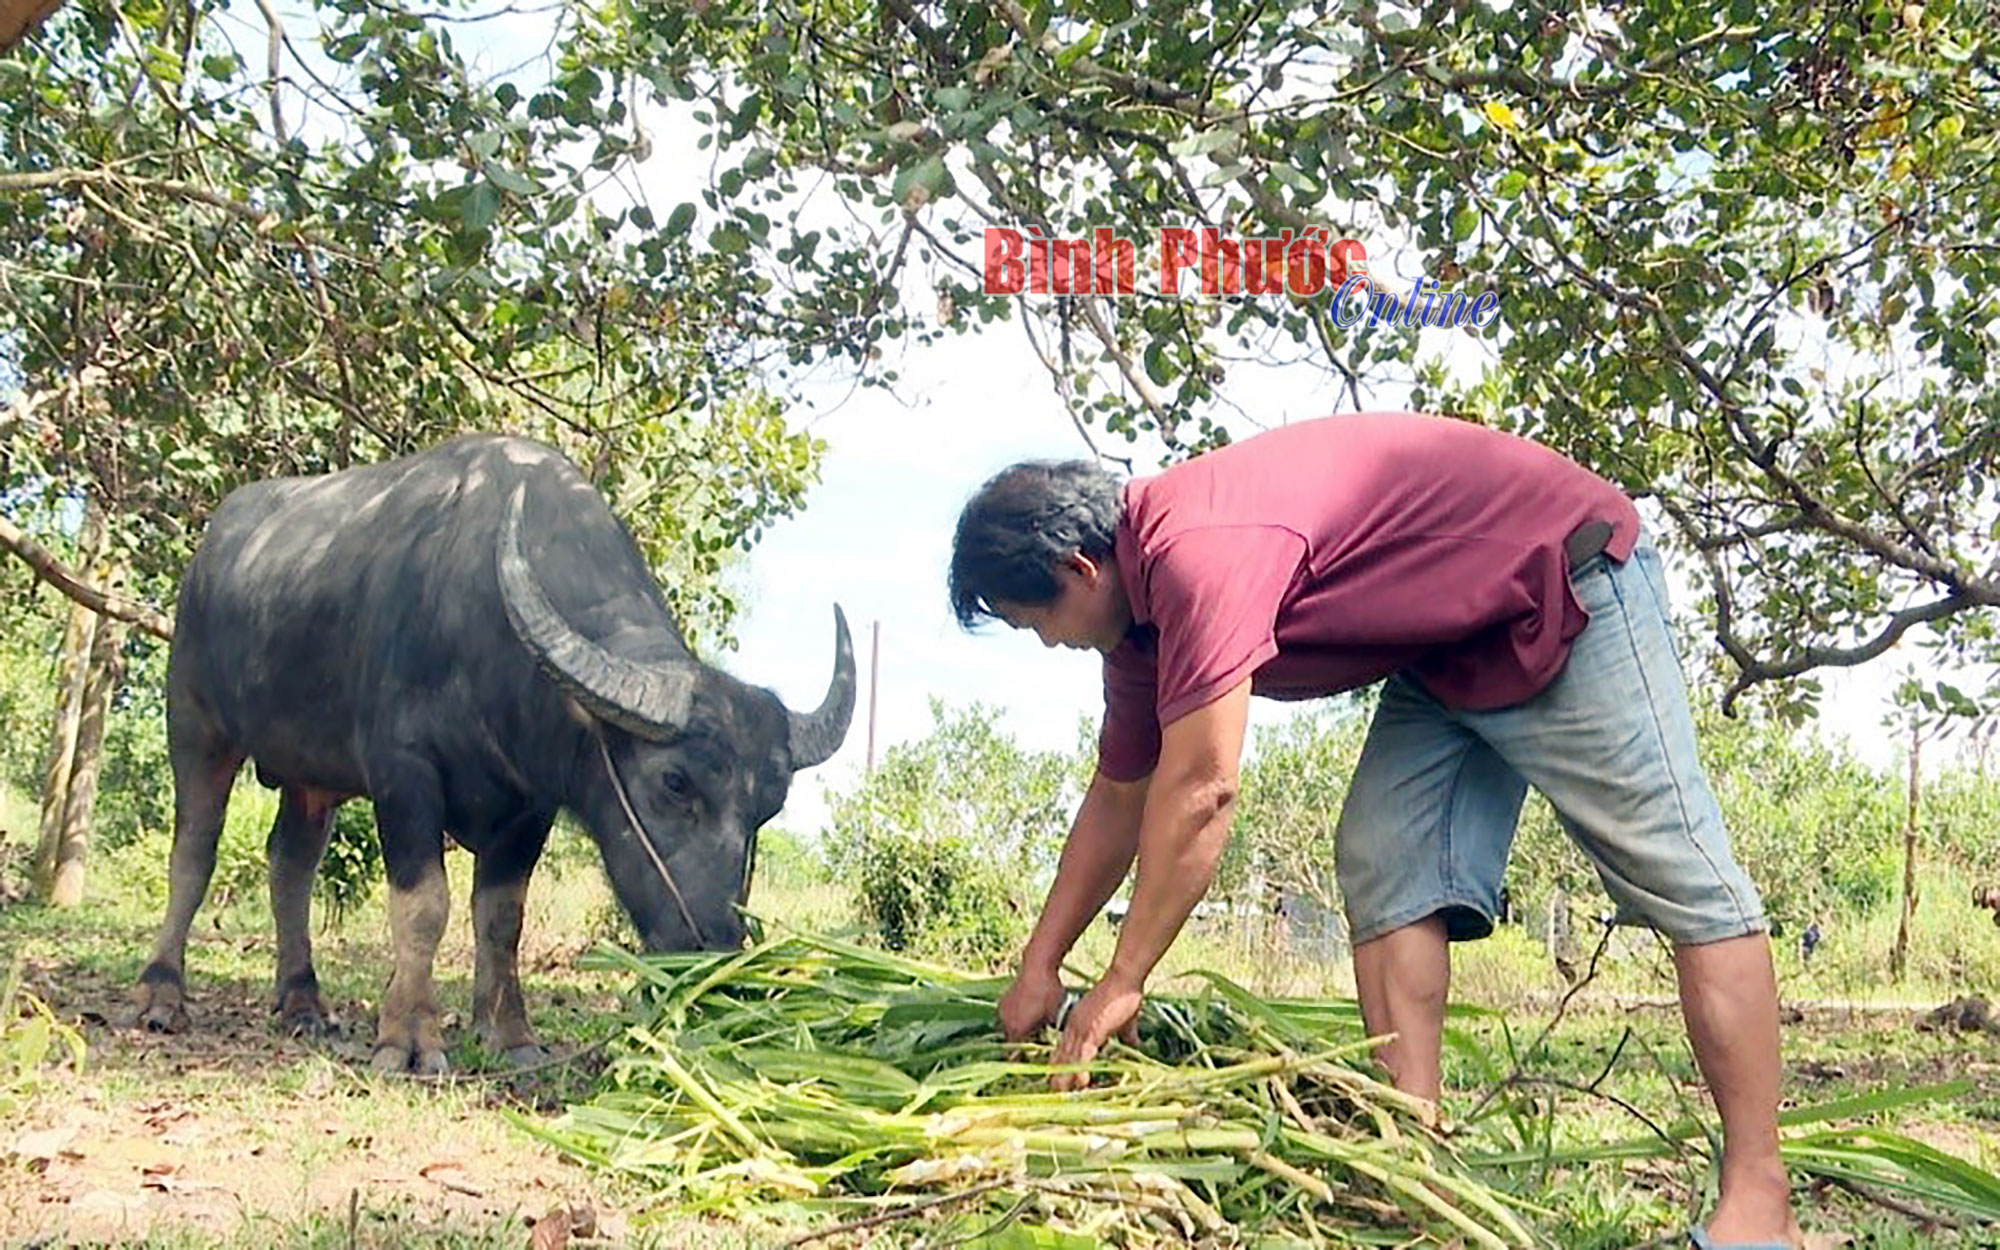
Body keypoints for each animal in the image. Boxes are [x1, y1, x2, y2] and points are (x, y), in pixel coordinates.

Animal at [131, 434, 852, 1064]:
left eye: (768, 807)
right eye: (674, 782)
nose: (715, 950)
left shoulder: (532, 803)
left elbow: (502, 917)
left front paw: (511, 1036)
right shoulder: (404, 774)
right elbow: (425, 907)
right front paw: (410, 1038)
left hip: (311, 775)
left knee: (291, 864)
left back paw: (303, 1002)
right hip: (194, 724)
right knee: (194, 851)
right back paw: (161, 994)